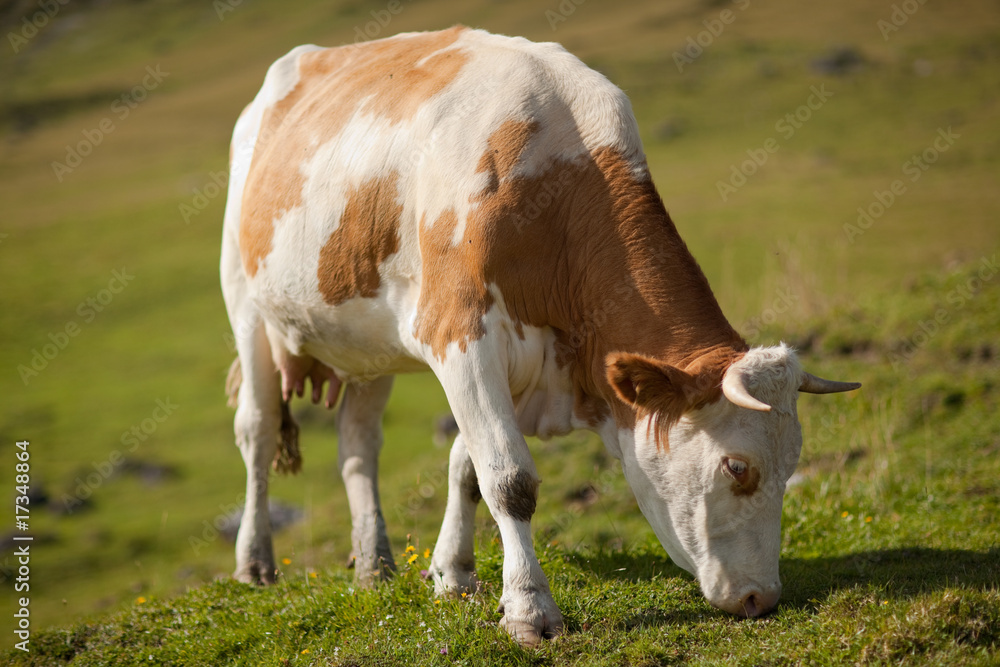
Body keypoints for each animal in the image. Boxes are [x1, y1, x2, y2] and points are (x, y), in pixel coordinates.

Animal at [220, 25, 860, 646]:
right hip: (245, 304)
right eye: (737, 468)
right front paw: (530, 610)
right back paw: (255, 562)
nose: (761, 598)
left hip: (367, 343)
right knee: (256, 431)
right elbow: (508, 479)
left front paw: (452, 574)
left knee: (358, 444)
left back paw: (374, 564)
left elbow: (467, 465)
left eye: (792, 464)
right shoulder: (460, 336)